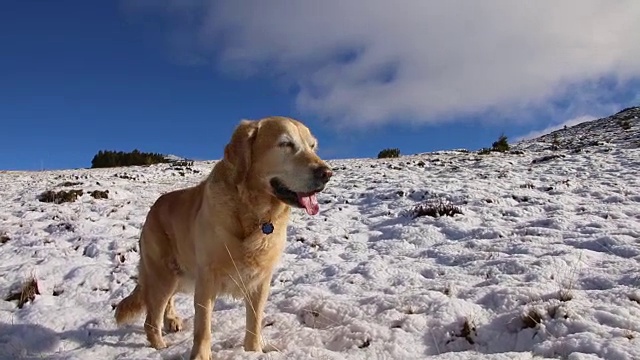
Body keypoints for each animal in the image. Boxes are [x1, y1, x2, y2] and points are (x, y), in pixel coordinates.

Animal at [115, 116, 332, 358]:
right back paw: (160, 346)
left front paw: (253, 351)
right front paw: (201, 356)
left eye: (312, 146)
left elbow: (254, 322)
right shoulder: (207, 279)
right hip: (163, 274)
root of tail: (154, 206)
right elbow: (203, 327)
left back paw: (171, 320)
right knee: (151, 319)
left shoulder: (261, 280)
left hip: (180, 275)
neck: (253, 212)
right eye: (285, 144)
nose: (327, 173)